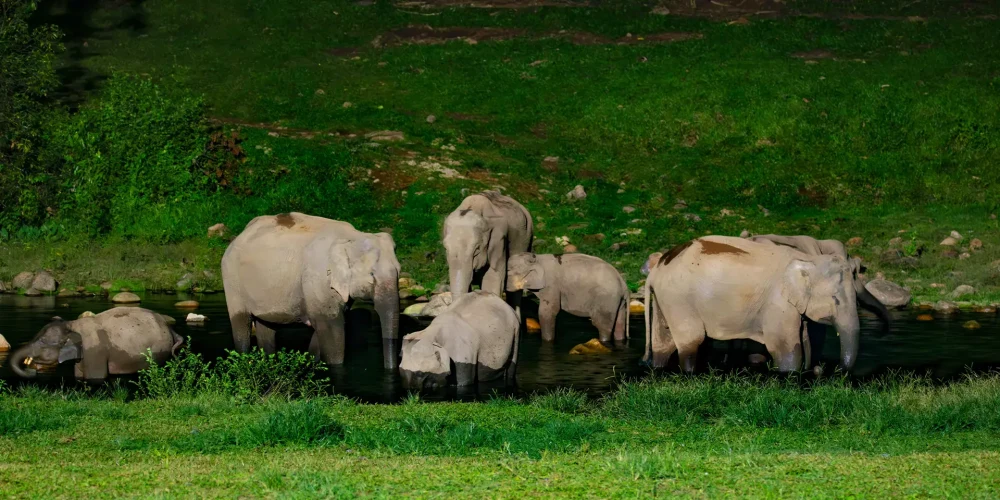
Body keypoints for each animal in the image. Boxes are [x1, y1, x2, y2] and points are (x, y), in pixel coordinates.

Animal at [9, 307, 182, 382]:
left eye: (43, 342)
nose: (33, 372)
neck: (72, 324)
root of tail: (169, 327)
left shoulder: (95, 351)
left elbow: (96, 377)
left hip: (159, 348)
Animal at [221, 212, 401, 369]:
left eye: (399, 272)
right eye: (372, 275)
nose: (392, 369)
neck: (351, 237)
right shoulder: (318, 280)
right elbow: (331, 332)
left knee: (266, 326)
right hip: (231, 279)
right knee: (241, 323)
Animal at [644, 236, 873, 373]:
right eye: (835, 299)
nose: (825, 370)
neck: (809, 259)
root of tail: (655, 271)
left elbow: (804, 341)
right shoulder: (778, 303)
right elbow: (786, 349)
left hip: (666, 299)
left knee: (663, 343)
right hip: (679, 300)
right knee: (692, 341)